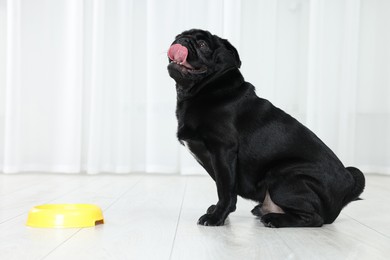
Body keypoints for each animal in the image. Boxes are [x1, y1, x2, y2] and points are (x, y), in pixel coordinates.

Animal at [166, 29, 364, 228]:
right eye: (178, 36)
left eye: (202, 45)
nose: (182, 40)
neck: (205, 90)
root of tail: (345, 189)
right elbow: (223, 188)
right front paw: (216, 211)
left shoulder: (223, 151)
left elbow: (225, 190)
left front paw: (216, 217)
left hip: (283, 176)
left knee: (315, 219)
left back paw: (274, 219)